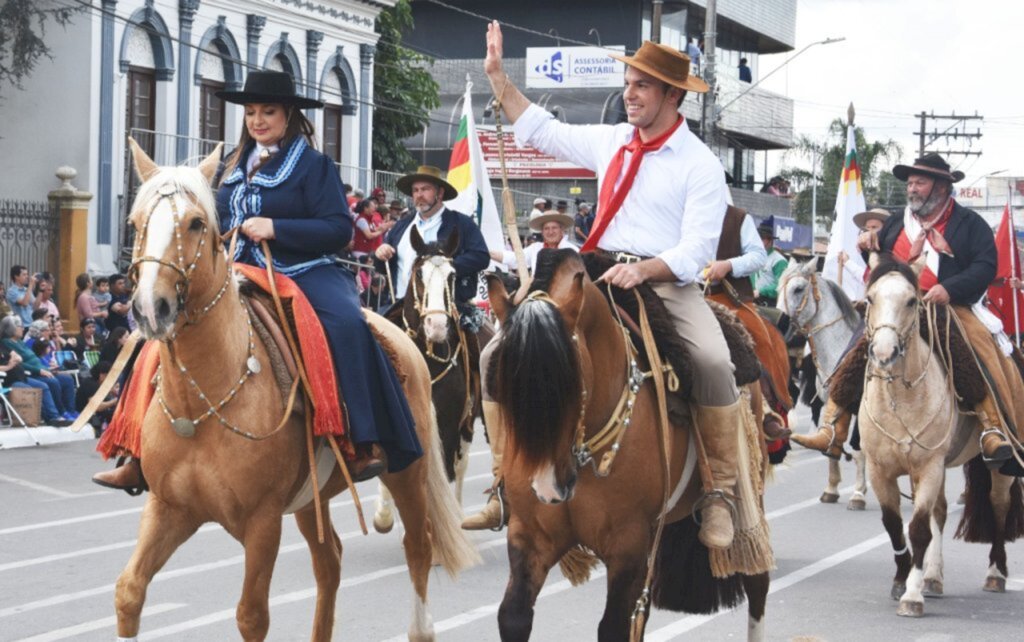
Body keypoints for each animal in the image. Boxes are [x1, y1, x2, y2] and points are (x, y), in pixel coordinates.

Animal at [114, 143, 477, 638]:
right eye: (136, 224)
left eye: (195, 223)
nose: (152, 308)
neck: (203, 402)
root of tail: (406, 340)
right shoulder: (168, 507)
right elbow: (129, 592)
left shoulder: (263, 522)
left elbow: (252, 615)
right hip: (313, 499)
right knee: (330, 562)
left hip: (409, 470)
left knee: (418, 547)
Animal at [485, 250, 770, 642]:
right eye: (501, 383)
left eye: (570, 380)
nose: (546, 486)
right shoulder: (530, 537)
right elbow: (513, 615)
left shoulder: (628, 547)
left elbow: (614, 627)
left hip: (749, 493)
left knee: (758, 581)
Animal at [778, 259, 868, 509]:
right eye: (779, 286)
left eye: (799, 288)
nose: (779, 326)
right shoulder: (832, 400)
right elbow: (833, 439)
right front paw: (831, 488)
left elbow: (859, 449)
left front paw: (858, 493)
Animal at [860, 259, 1019, 618]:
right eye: (871, 298)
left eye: (911, 301)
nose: (884, 352)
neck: (900, 398)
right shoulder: (880, 470)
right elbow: (894, 525)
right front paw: (903, 579)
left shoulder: (928, 466)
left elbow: (918, 529)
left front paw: (912, 596)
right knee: (941, 513)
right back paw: (933, 576)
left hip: (997, 466)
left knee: (999, 507)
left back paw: (995, 573)